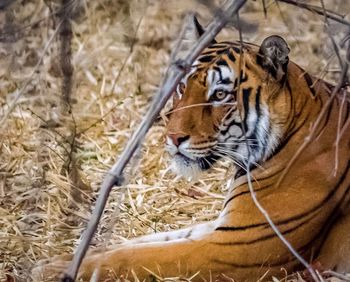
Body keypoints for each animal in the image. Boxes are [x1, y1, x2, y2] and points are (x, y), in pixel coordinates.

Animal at [33, 16, 350, 282]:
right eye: (182, 88)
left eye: (220, 94)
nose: (172, 136)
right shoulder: (223, 227)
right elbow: (142, 241)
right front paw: (61, 260)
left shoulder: (235, 247)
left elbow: (136, 256)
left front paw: (52, 271)